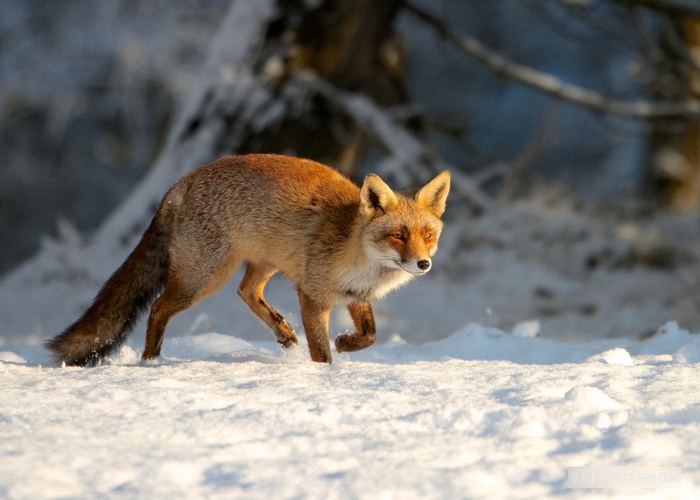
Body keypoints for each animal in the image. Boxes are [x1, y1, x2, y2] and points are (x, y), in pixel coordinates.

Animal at [45, 154, 448, 366]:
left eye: (427, 235)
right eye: (398, 235)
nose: (423, 264)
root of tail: (183, 181)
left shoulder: (354, 295)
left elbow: (371, 335)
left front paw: (347, 343)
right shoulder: (312, 294)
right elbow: (321, 349)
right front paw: (326, 374)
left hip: (263, 261)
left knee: (246, 291)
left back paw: (283, 333)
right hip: (203, 278)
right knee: (158, 308)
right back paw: (151, 360)